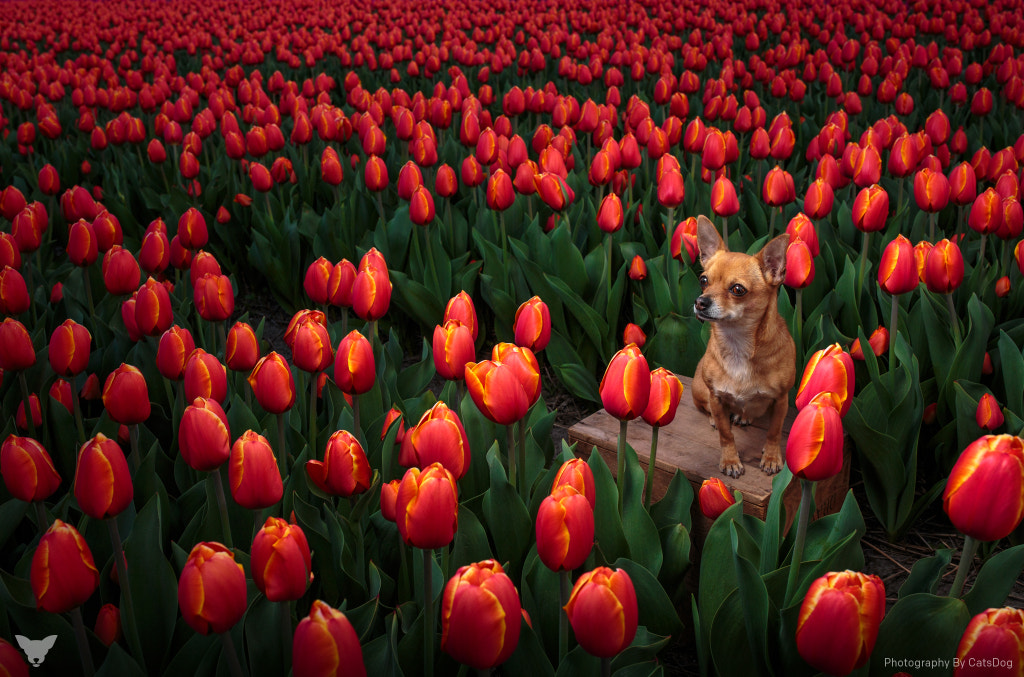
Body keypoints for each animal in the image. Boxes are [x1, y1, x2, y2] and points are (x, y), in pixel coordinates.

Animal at [692, 215, 794, 475]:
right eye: (703, 280)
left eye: (737, 290)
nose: (700, 301)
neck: (737, 343)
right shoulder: (717, 396)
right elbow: (726, 435)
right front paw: (730, 460)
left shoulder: (781, 400)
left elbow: (774, 432)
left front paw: (771, 457)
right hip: (700, 389)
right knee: (708, 409)